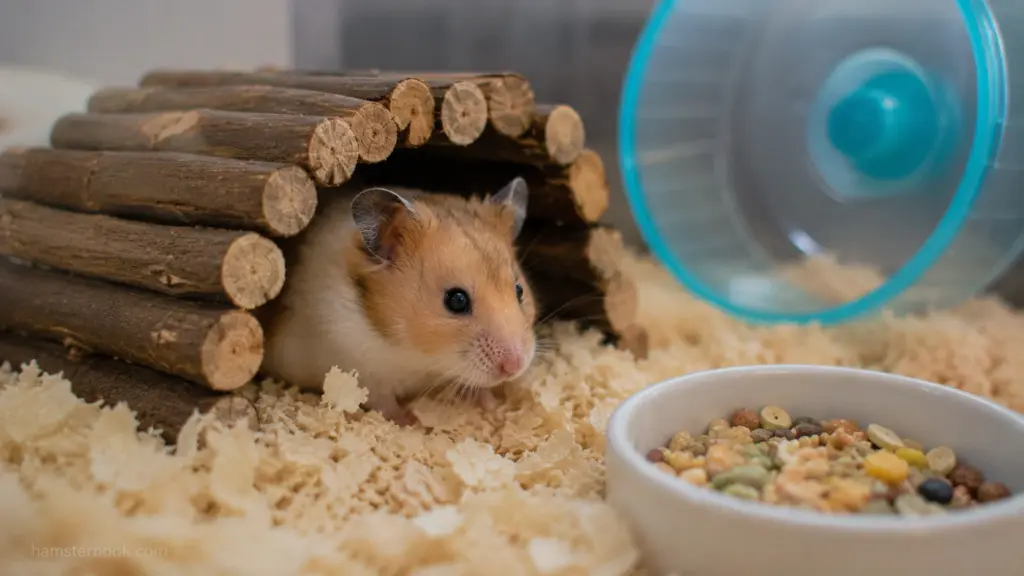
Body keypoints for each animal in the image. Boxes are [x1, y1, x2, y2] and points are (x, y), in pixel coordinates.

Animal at [259, 177, 538, 425]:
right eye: (456, 300)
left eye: (519, 290)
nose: (515, 366)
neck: (415, 355)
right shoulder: (356, 365)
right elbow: (382, 401)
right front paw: (411, 420)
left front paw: (492, 405)